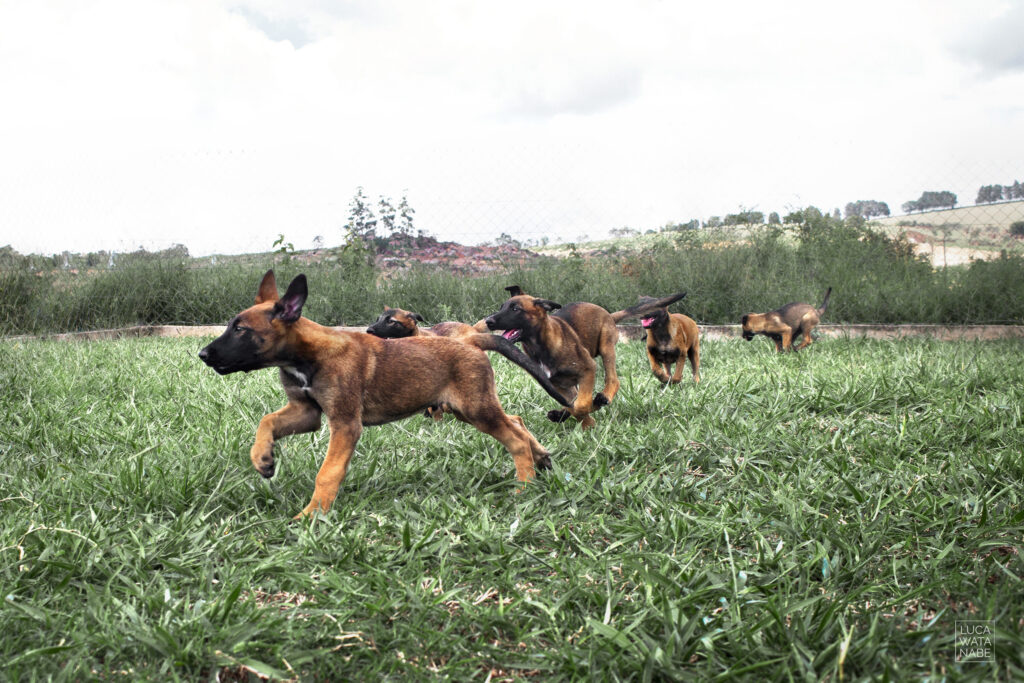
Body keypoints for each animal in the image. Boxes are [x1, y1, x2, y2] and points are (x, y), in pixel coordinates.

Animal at [197, 272, 569, 518]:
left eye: (241, 330)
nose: (202, 354)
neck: (307, 355)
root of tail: (470, 340)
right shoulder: (306, 412)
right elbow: (267, 421)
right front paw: (262, 457)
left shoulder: (346, 424)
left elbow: (328, 472)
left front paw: (311, 516)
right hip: (468, 408)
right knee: (517, 422)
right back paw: (541, 459)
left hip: (476, 409)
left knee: (514, 438)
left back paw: (524, 485)